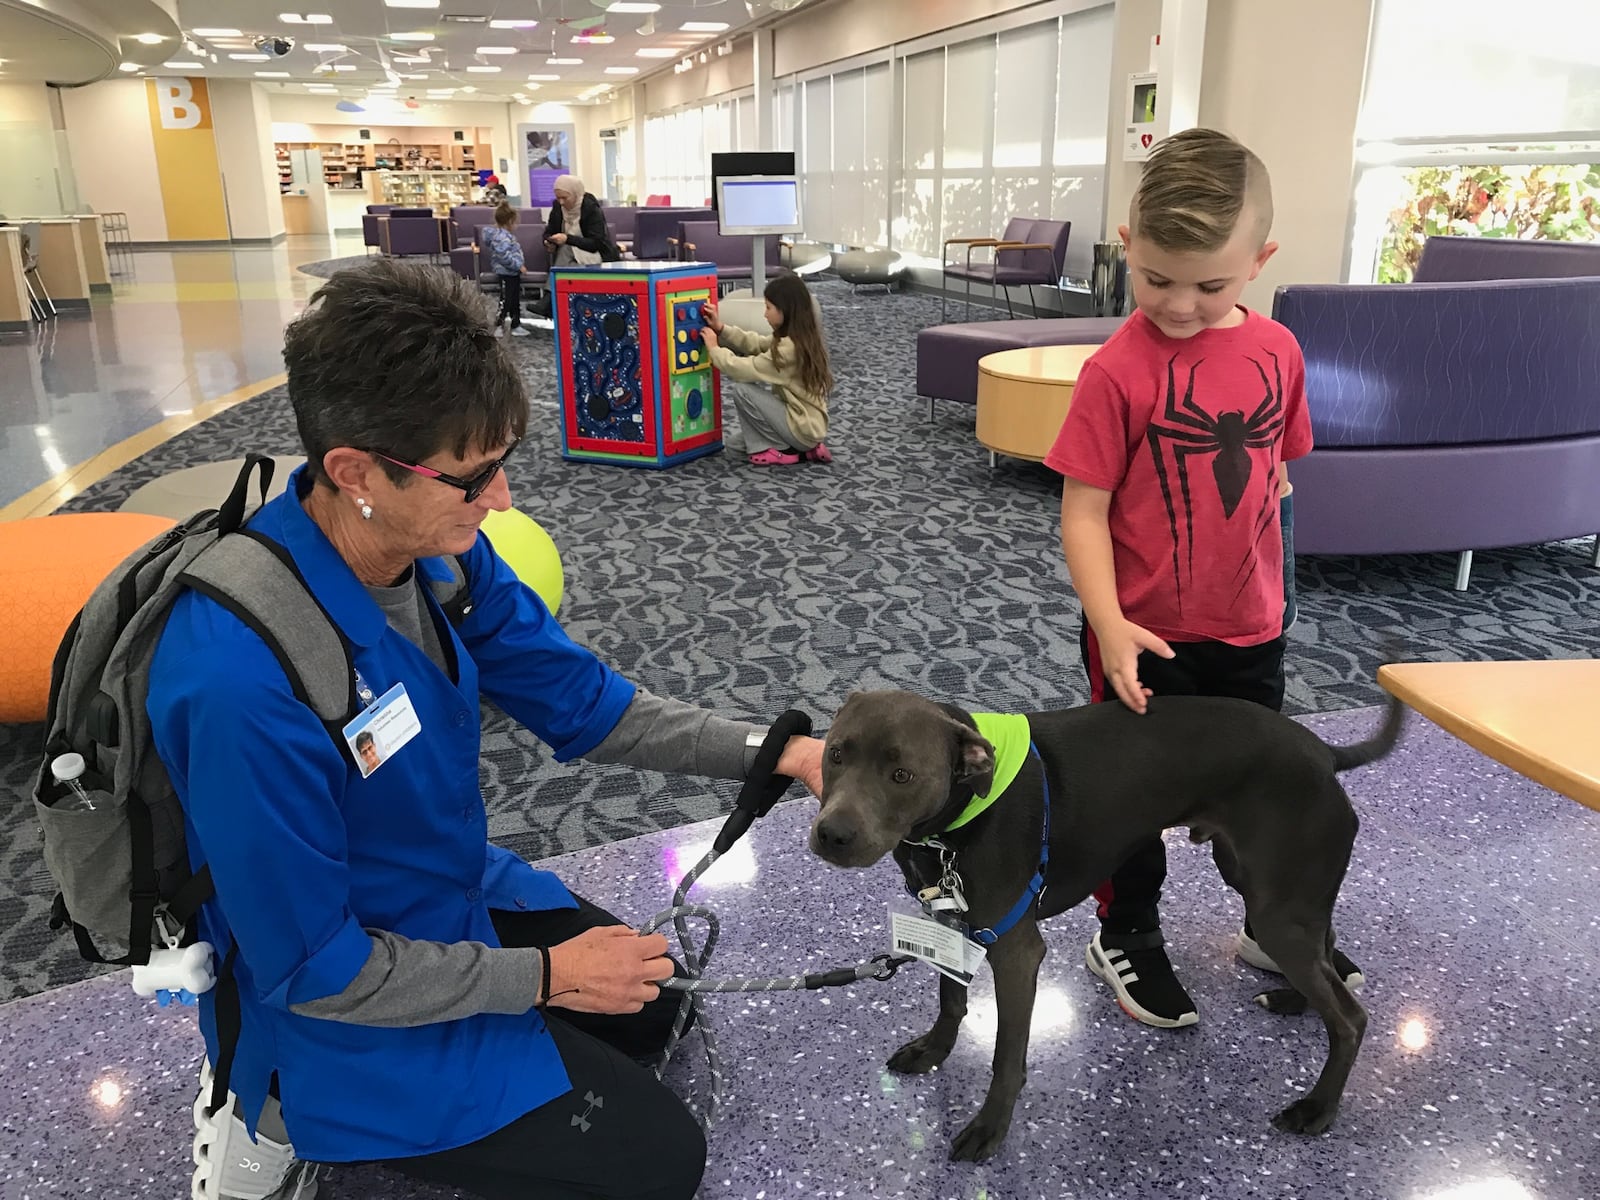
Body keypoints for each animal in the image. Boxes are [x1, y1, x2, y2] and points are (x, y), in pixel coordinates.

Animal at [812, 691, 1401, 1158]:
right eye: (836, 753)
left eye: (902, 774)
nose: (831, 835)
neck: (956, 821)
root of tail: (1323, 751)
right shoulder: (951, 923)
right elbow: (950, 1001)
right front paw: (933, 1052)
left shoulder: (1016, 951)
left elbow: (1006, 1054)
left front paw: (990, 1127)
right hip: (1273, 893)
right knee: (1326, 952)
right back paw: (1292, 1001)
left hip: (1277, 907)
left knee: (1350, 1018)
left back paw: (1318, 1108)